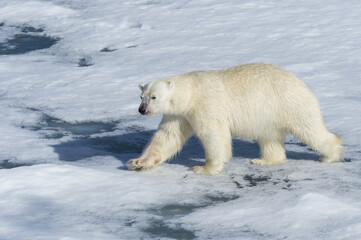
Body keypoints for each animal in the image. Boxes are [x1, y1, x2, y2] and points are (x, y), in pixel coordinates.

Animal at [126, 63, 340, 174]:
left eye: (154, 97)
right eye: (141, 96)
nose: (142, 110)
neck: (191, 92)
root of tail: (301, 83)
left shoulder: (206, 105)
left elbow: (214, 134)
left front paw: (204, 167)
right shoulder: (178, 114)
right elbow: (166, 137)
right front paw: (137, 162)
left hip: (289, 103)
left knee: (309, 129)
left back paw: (330, 155)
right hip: (268, 115)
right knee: (269, 136)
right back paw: (263, 160)